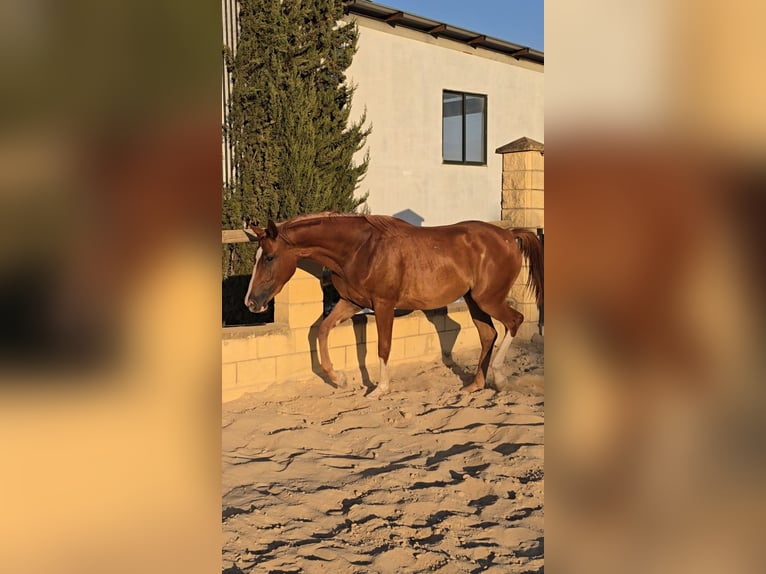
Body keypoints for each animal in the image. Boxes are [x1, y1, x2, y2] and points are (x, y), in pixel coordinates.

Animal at [246, 214, 544, 398]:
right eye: (256, 257)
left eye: (269, 257)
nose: (251, 303)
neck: (360, 249)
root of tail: (509, 235)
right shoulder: (352, 302)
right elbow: (322, 330)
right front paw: (339, 378)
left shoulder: (383, 305)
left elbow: (383, 345)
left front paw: (380, 388)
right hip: (474, 300)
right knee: (488, 334)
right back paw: (475, 385)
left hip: (488, 298)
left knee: (513, 321)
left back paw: (499, 378)